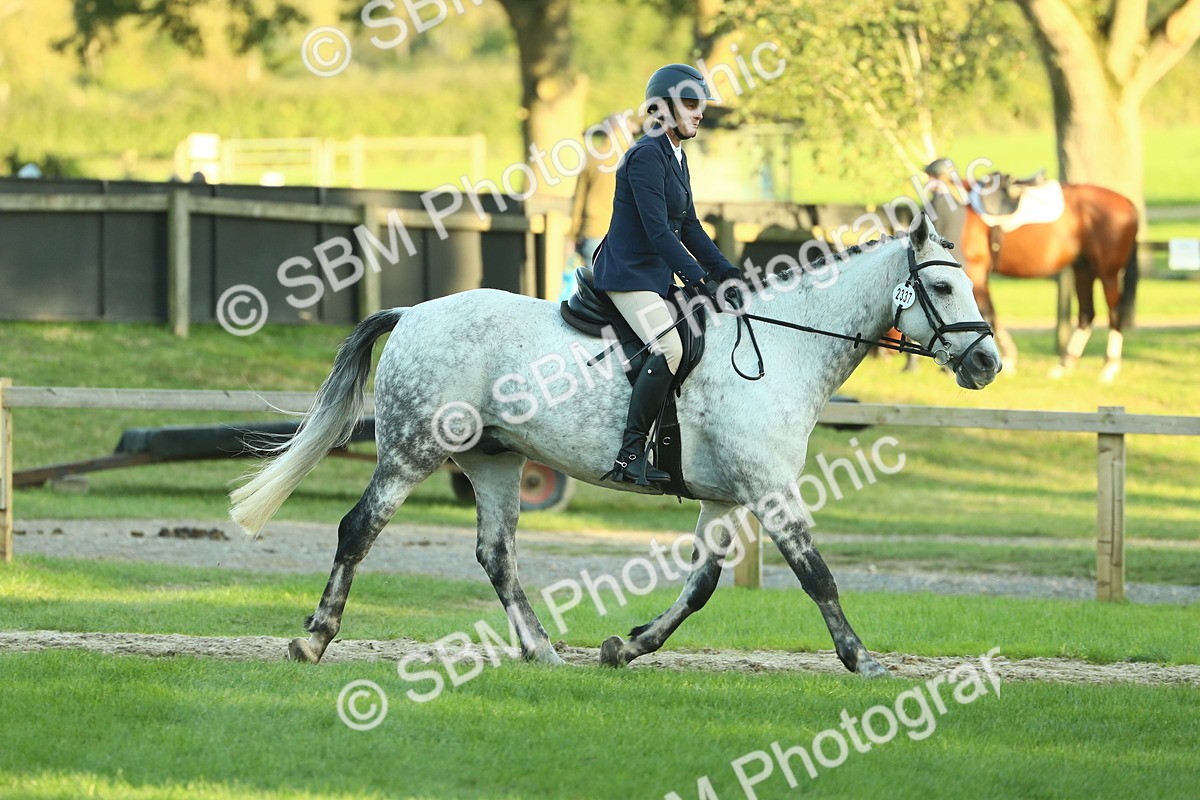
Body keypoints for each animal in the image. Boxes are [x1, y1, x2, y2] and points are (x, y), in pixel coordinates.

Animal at [229, 215, 1001, 679]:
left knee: (496, 554)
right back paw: (313, 638)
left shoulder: (725, 499)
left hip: (494, 460)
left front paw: (625, 646)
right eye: (940, 284)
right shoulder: (770, 488)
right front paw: (861, 659)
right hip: (412, 450)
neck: (784, 347)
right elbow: (817, 576)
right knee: (358, 529)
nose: (988, 363)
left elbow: (701, 586)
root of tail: (412, 311)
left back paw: (542, 649)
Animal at [958, 175, 1138, 383]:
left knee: (1114, 313)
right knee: (1087, 314)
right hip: (1083, 269)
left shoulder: (975, 271)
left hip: (1108, 273)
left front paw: (1005, 360)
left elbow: (986, 314)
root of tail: (1127, 203)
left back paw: (1109, 368)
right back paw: (1064, 365)